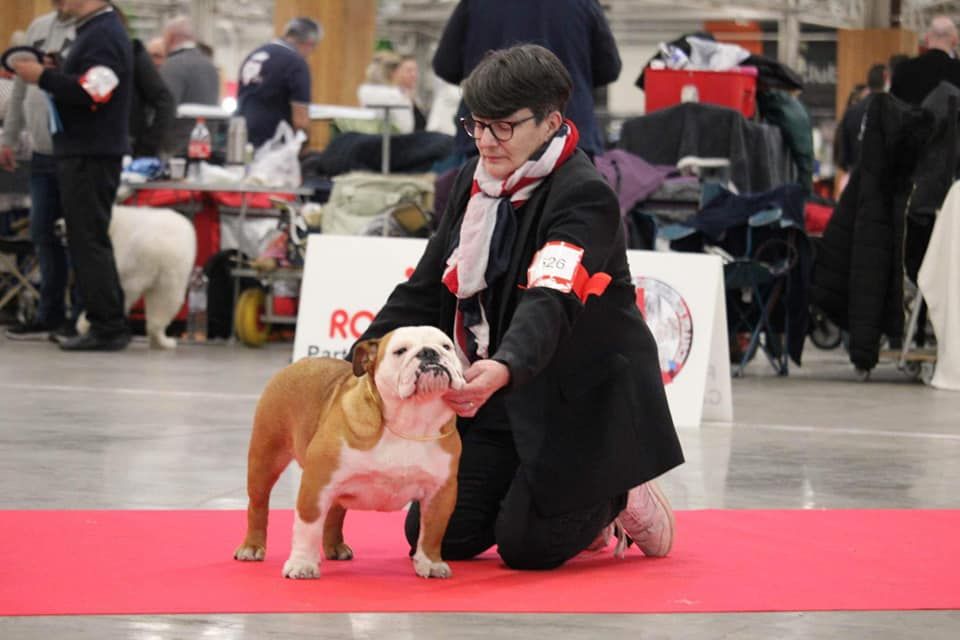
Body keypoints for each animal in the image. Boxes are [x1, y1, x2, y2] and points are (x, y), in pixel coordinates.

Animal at [232, 328, 464, 576]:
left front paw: (431, 563)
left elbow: (432, 531)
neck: (411, 420)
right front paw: (302, 564)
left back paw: (335, 547)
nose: (430, 352)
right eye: (400, 351)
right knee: (258, 504)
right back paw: (252, 547)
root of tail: (298, 364)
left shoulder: (440, 492)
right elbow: (308, 525)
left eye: (447, 346)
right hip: (265, 458)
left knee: (335, 510)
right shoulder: (316, 483)